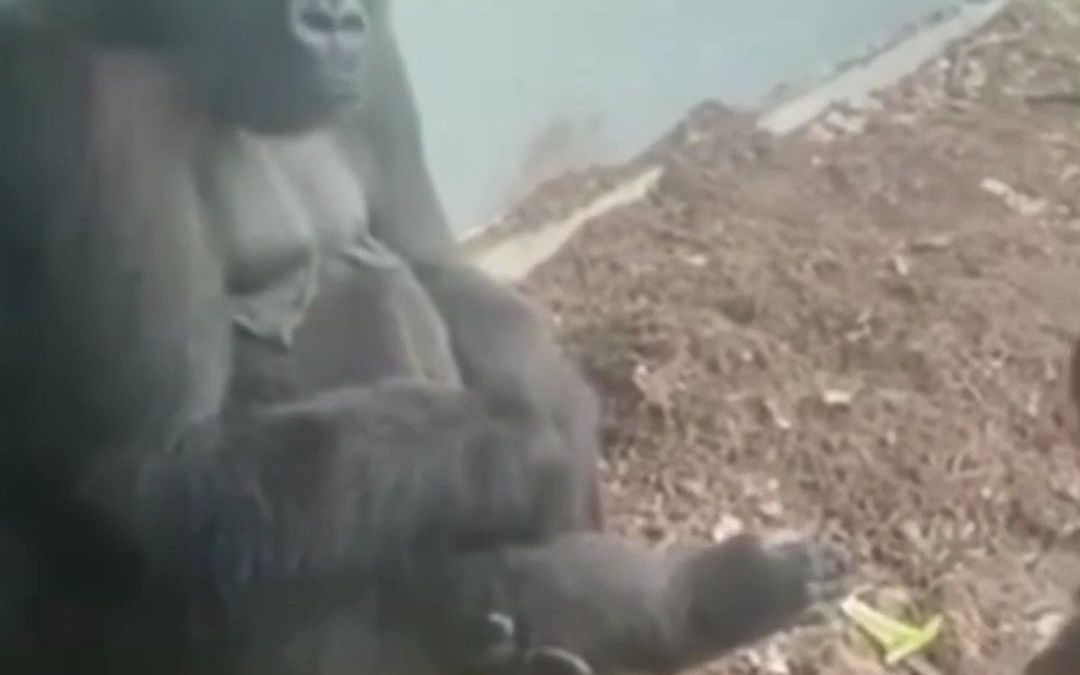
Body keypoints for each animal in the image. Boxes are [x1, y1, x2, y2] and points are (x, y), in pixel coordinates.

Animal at [0, 1, 850, 673]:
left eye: (352, 25)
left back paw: (685, 607)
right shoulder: (94, 102)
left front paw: (563, 423)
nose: (332, 20)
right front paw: (536, 448)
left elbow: (433, 262)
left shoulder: (379, 58)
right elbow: (157, 468)